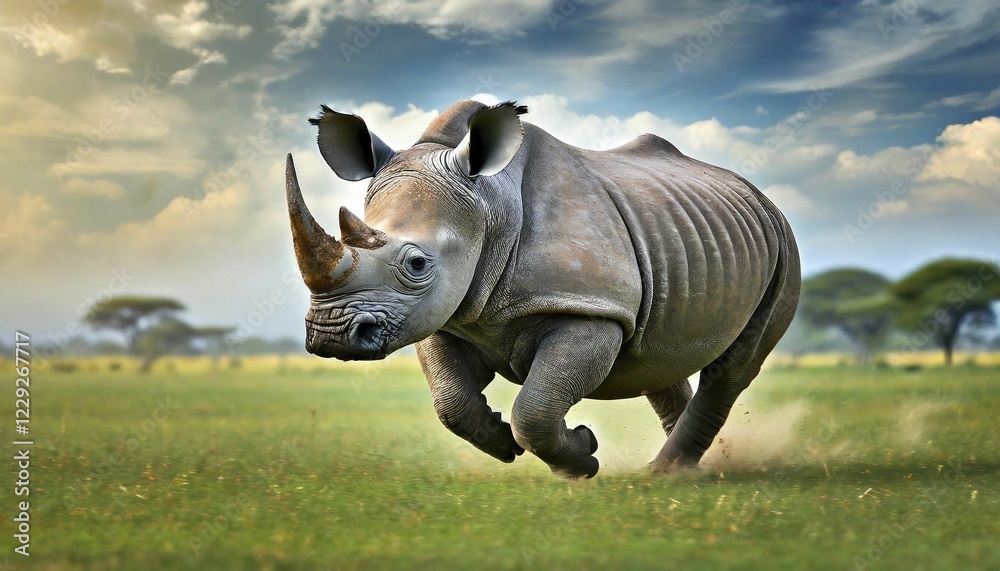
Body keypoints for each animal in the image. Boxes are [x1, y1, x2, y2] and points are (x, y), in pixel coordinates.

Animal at [285, 100, 799, 479]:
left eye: (416, 263)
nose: (330, 334)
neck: (489, 206)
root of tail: (757, 193)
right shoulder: (444, 314)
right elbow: (450, 401)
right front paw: (503, 442)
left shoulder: (590, 307)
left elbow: (535, 407)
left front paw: (581, 459)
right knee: (657, 357)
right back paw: (684, 467)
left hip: (782, 244)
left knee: (733, 368)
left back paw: (665, 473)